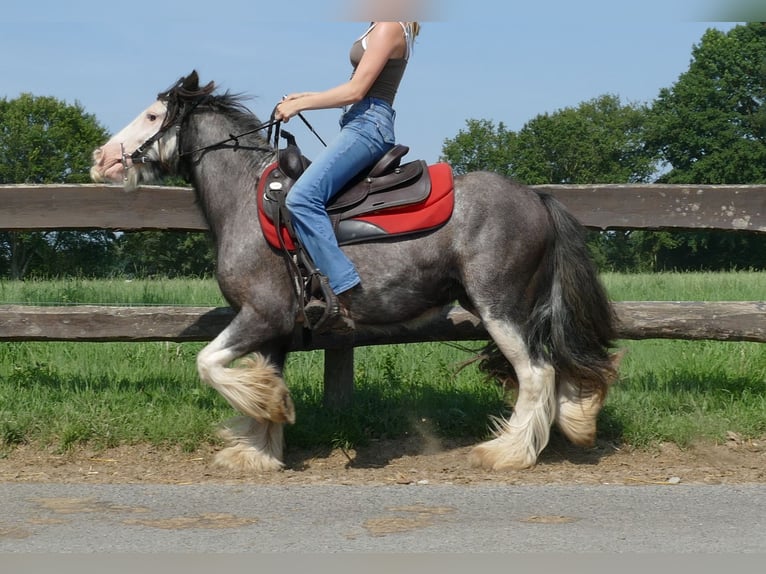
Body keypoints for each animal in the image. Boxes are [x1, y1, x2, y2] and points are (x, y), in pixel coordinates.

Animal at [91, 72, 616, 474]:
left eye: (153, 116)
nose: (102, 158)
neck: (247, 200)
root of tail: (537, 199)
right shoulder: (272, 329)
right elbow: (260, 374)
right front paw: (260, 447)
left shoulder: (263, 315)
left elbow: (207, 362)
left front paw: (271, 409)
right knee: (556, 363)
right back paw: (577, 418)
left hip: (500, 308)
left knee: (536, 372)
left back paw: (507, 452)